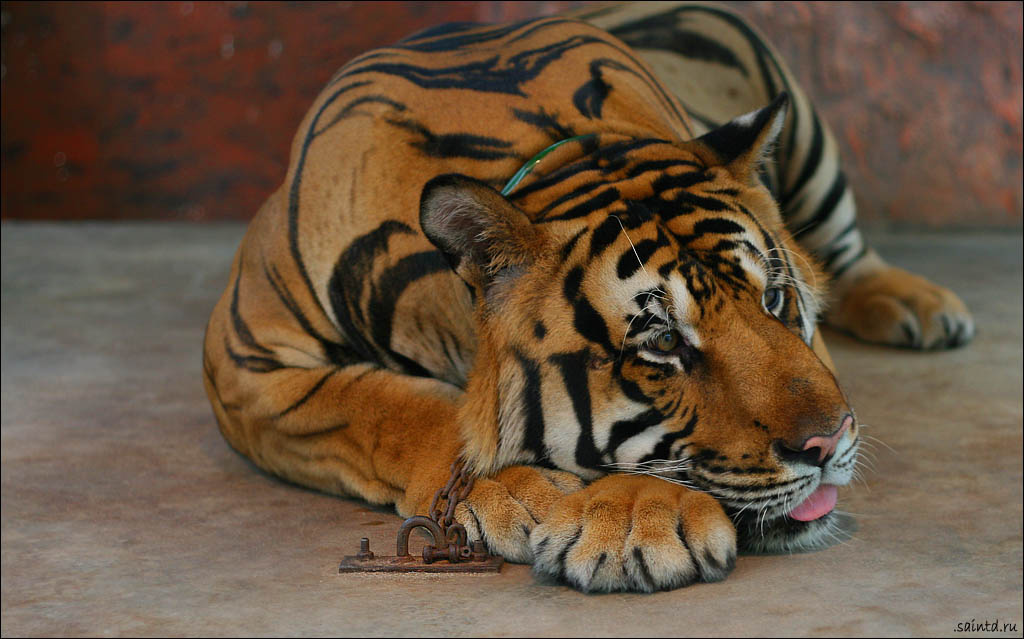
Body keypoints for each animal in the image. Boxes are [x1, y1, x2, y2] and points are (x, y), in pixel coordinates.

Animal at [202, 2, 974, 592]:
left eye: (776, 300)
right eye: (663, 342)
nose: (831, 439)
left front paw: (635, 516)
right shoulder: (244, 355)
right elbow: (393, 408)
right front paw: (528, 490)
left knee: (849, 252)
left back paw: (925, 309)